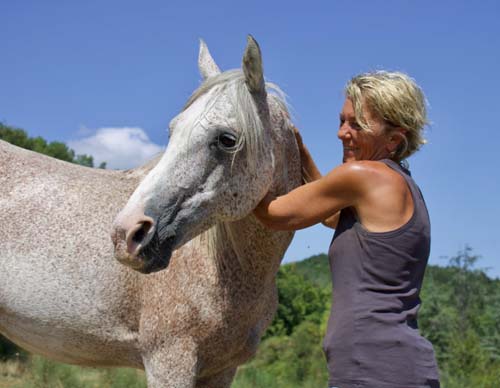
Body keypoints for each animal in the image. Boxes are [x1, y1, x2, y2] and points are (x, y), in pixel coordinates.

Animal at [0, 34, 300, 386]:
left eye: (226, 139)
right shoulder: (168, 361)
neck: (224, 266)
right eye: (173, 131)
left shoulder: (221, 369)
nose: (127, 234)